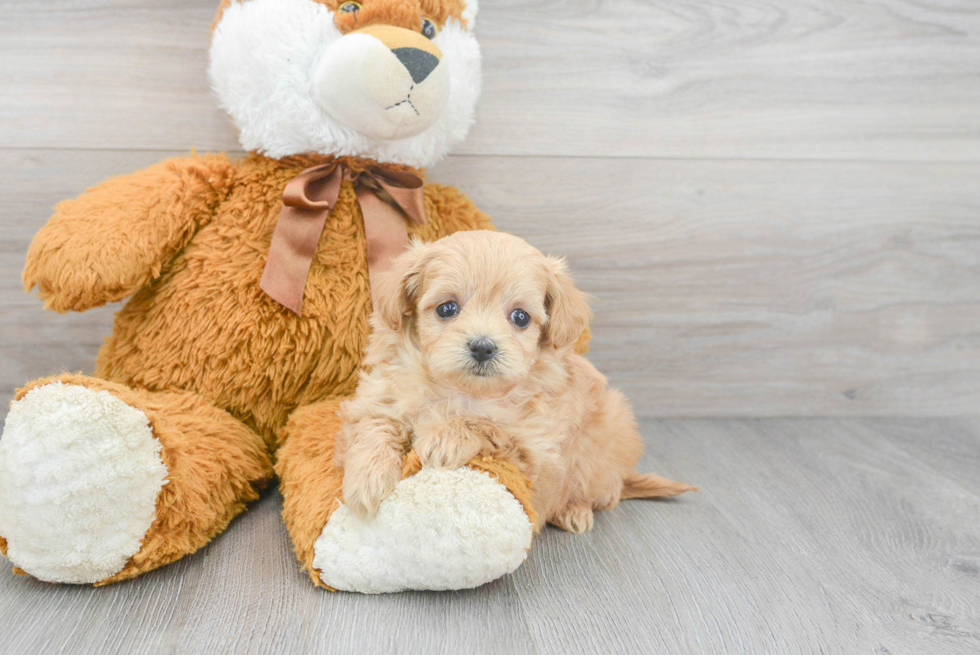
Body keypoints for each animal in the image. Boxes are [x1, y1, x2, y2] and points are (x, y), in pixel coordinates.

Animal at [336, 231, 696, 532]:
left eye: (520, 317)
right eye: (447, 308)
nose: (483, 347)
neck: (464, 392)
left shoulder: (538, 458)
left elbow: (492, 428)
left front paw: (446, 436)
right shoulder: (379, 398)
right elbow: (375, 425)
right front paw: (366, 480)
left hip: (606, 440)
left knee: (605, 492)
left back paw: (574, 511)